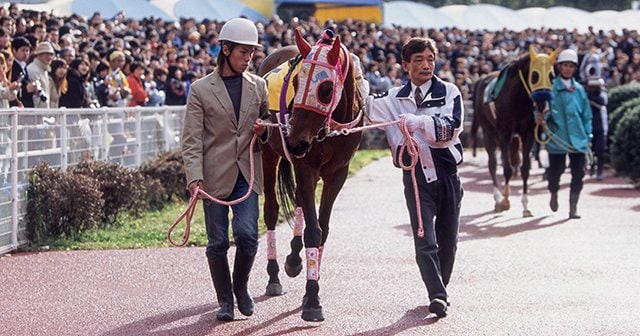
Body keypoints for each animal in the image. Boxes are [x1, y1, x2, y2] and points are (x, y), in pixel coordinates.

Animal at [256, 27, 364, 322]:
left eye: (325, 89)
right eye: (296, 81)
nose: (294, 142)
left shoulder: (337, 172)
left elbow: (321, 228)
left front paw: (310, 287)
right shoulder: (305, 165)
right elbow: (314, 231)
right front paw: (313, 300)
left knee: (299, 201)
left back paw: (294, 259)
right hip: (268, 151)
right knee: (271, 210)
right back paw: (274, 277)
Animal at [470, 46, 556, 217]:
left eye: (552, 76)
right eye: (535, 75)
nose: (543, 105)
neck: (518, 98)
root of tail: (481, 80)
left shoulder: (527, 133)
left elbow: (525, 168)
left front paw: (525, 206)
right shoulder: (504, 133)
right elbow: (507, 169)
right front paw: (505, 201)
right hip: (488, 130)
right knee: (492, 164)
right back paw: (497, 198)